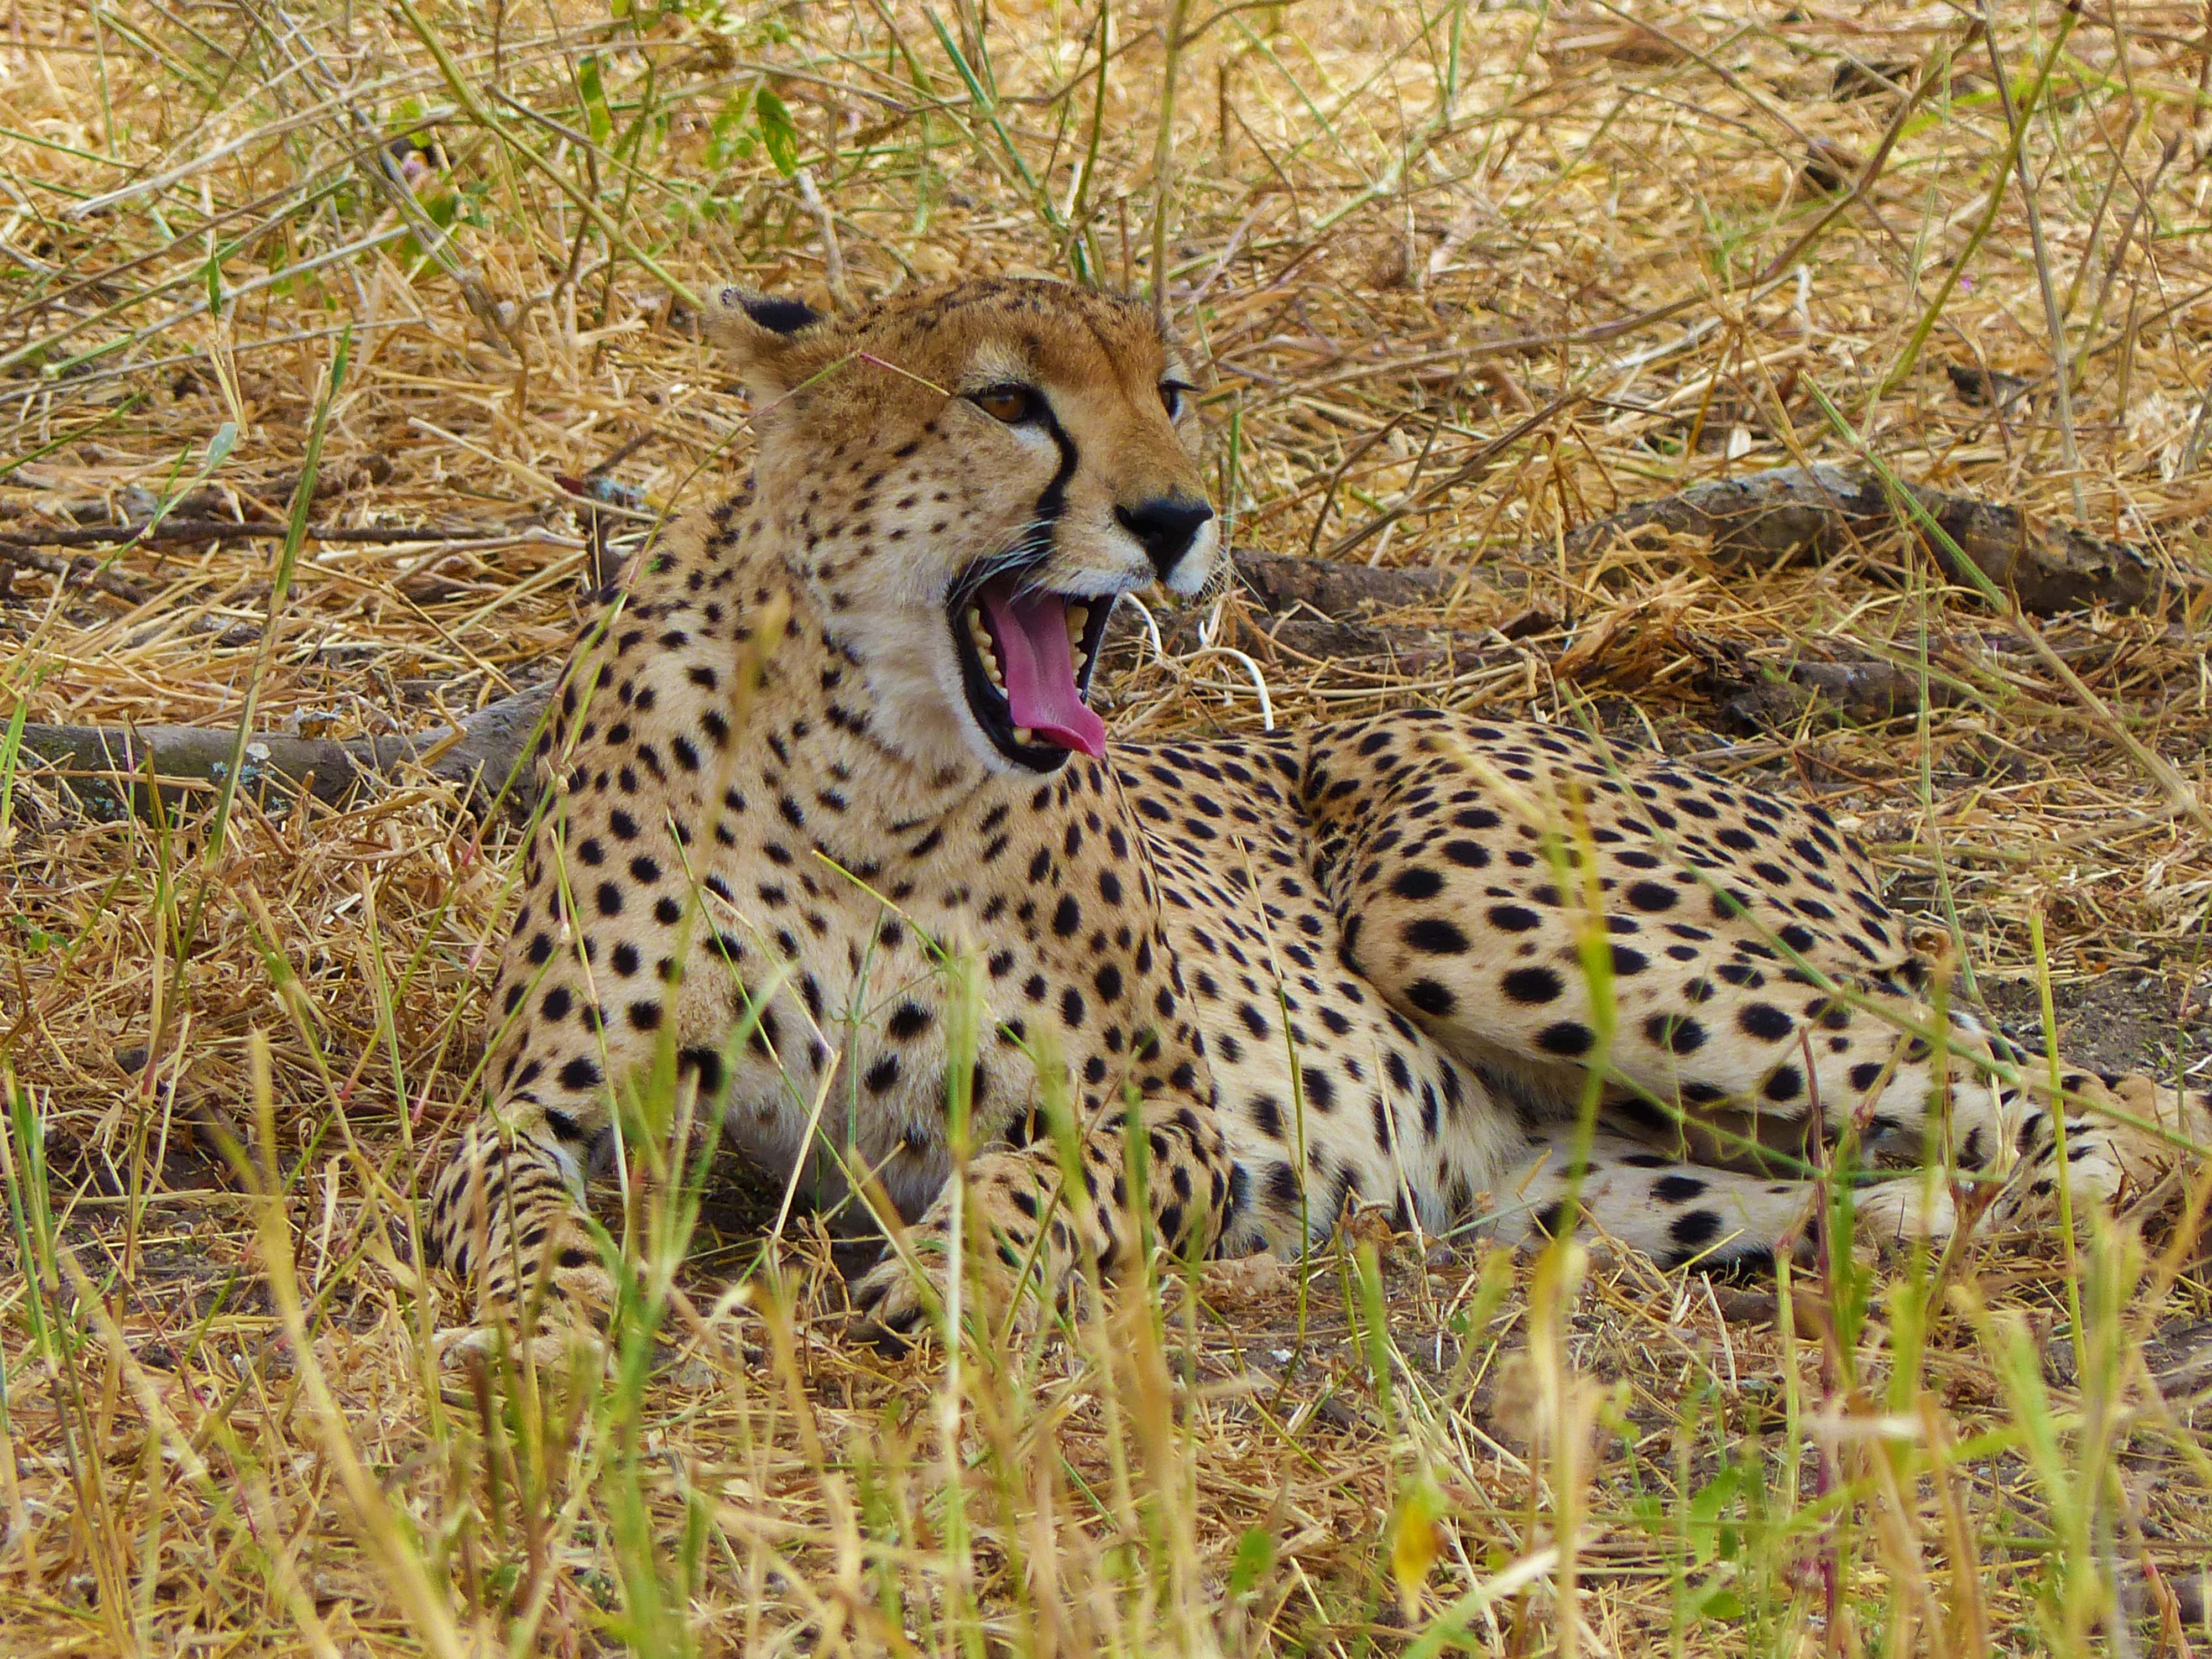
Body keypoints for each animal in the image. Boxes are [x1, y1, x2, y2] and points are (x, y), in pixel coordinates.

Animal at [422, 280, 2203, 1354]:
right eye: (1005, 403)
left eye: (1170, 390)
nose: (1175, 515)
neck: (868, 752)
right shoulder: (532, 1103)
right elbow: (506, 1201)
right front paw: (557, 1317)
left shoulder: (1166, 1116)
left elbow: (1031, 1187)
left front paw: (943, 1274)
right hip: (1578, 1176)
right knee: (1895, 1169)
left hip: (1470, 901)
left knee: (2096, 1097)